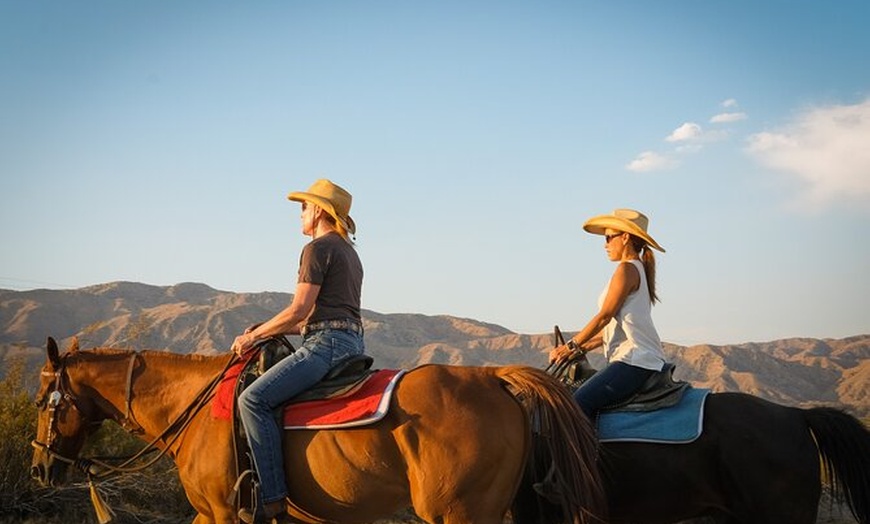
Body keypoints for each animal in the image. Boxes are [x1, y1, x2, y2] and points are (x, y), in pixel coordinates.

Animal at [32, 336, 608, 524]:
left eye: (43, 403)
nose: (39, 468)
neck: (193, 409)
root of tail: (494, 377)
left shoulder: (222, 511)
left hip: (459, 513)